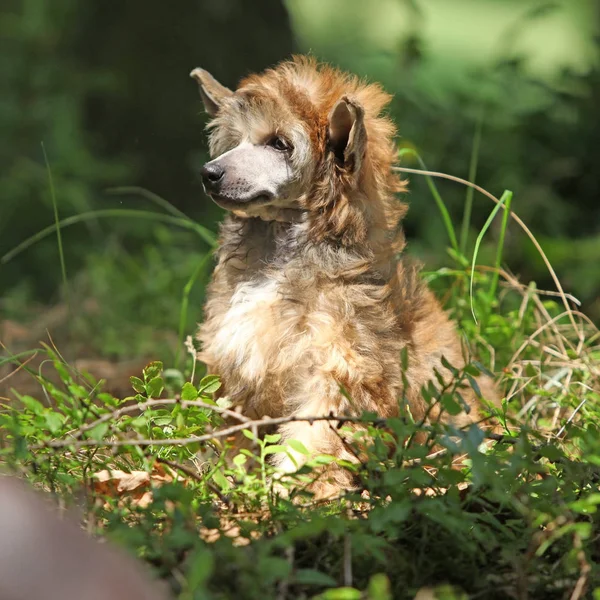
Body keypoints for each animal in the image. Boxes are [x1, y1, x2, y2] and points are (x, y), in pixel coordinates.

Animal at [191, 55, 496, 496]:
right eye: (235, 142)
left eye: (279, 144)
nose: (209, 173)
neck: (282, 252)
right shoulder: (239, 362)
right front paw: (229, 477)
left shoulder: (339, 369)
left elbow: (315, 438)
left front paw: (295, 490)